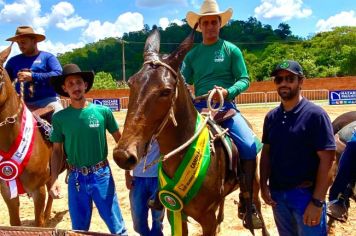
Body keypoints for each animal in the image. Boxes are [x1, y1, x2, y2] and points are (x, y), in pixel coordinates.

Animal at [112, 29, 268, 234]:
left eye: (166, 91)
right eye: (131, 83)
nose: (123, 155)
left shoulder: (207, 219)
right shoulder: (175, 213)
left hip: (254, 179)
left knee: (256, 204)